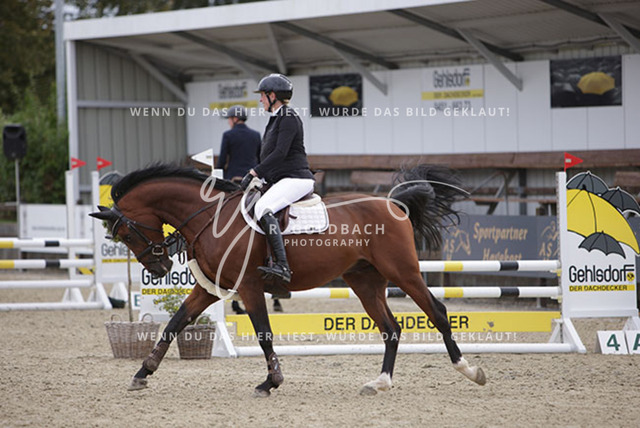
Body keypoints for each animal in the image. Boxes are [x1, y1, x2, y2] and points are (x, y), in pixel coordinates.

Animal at [90, 163, 486, 396]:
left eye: (126, 233)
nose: (158, 268)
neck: (211, 215)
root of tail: (393, 202)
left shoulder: (248, 287)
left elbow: (264, 333)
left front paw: (271, 381)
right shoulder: (211, 288)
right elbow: (175, 322)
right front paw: (143, 372)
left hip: (402, 272)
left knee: (437, 312)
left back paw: (469, 370)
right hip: (365, 282)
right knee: (391, 328)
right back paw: (380, 382)